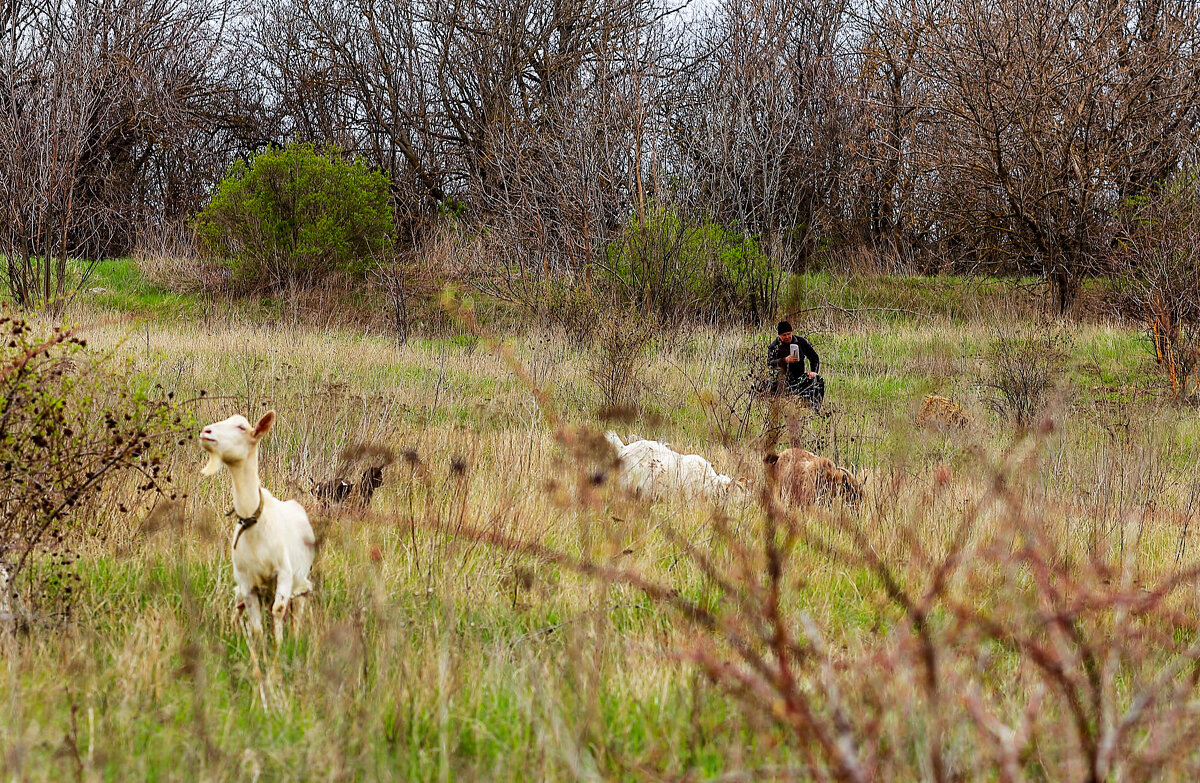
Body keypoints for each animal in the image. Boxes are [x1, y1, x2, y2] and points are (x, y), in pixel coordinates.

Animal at [200, 410, 314, 634]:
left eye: (242, 427)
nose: (206, 431)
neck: (254, 519)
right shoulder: (247, 582)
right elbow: (256, 627)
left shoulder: (284, 573)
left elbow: (278, 609)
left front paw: (279, 644)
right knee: (239, 607)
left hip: (300, 582)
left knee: (296, 613)